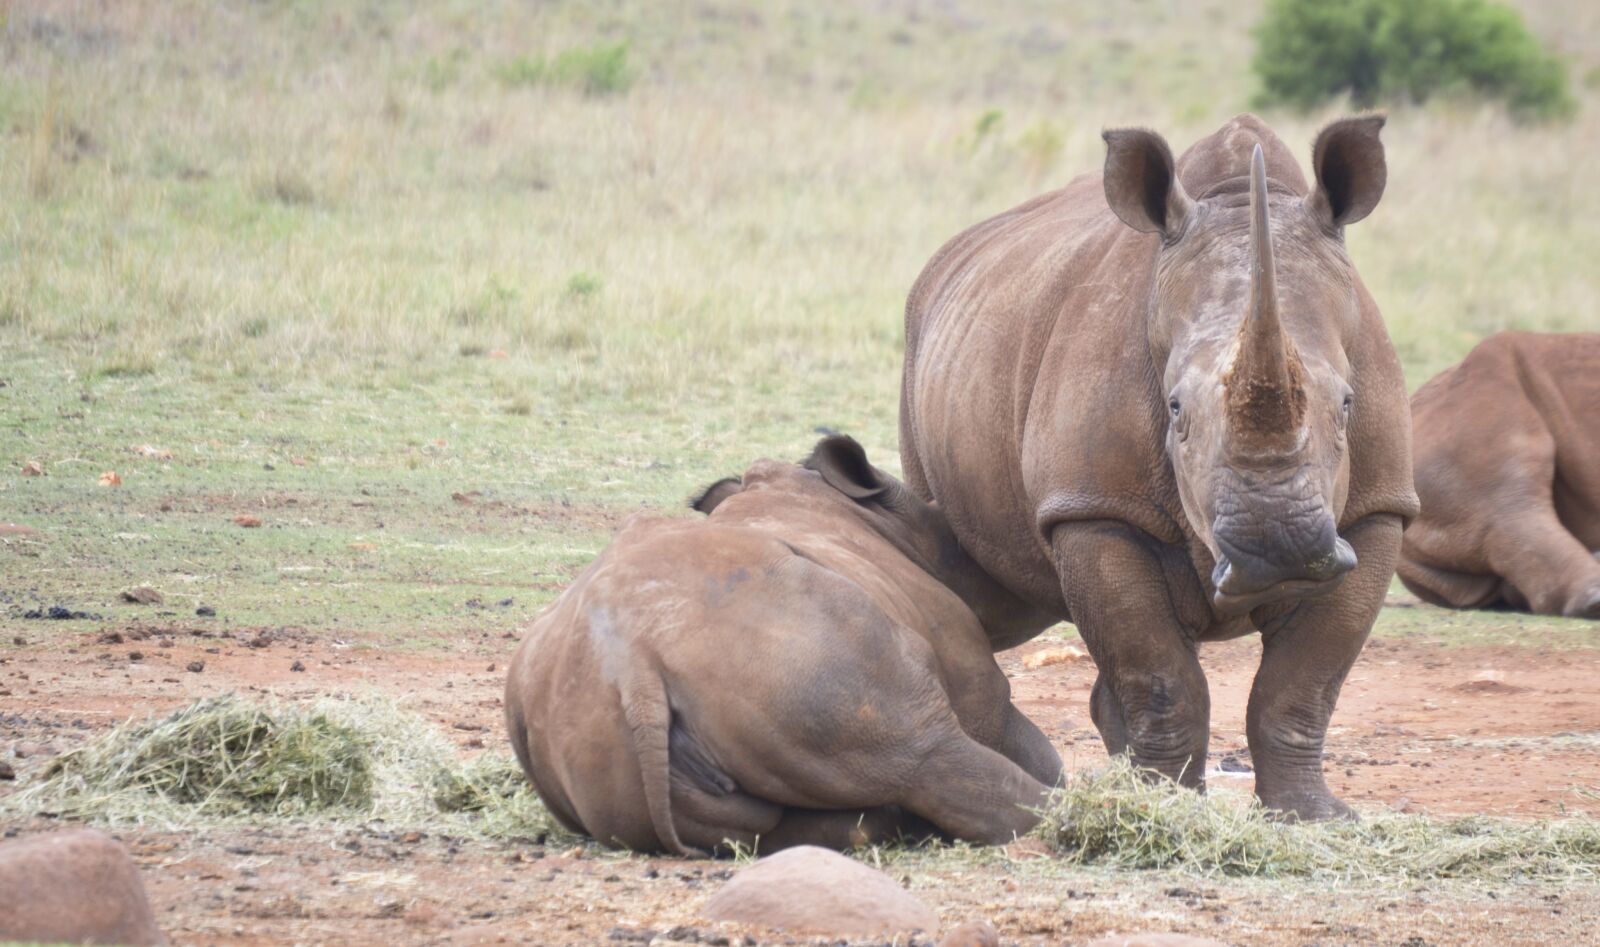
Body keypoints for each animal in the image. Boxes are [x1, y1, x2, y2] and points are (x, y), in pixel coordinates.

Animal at [900, 114, 1419, 819]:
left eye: (1346, 403)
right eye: (1174, 409)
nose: (1279, 552)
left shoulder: (1378, 508)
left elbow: (1302, 685)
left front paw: (1311, 817)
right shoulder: (1095, 509)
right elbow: (1160, 677)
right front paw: (1166, 809)